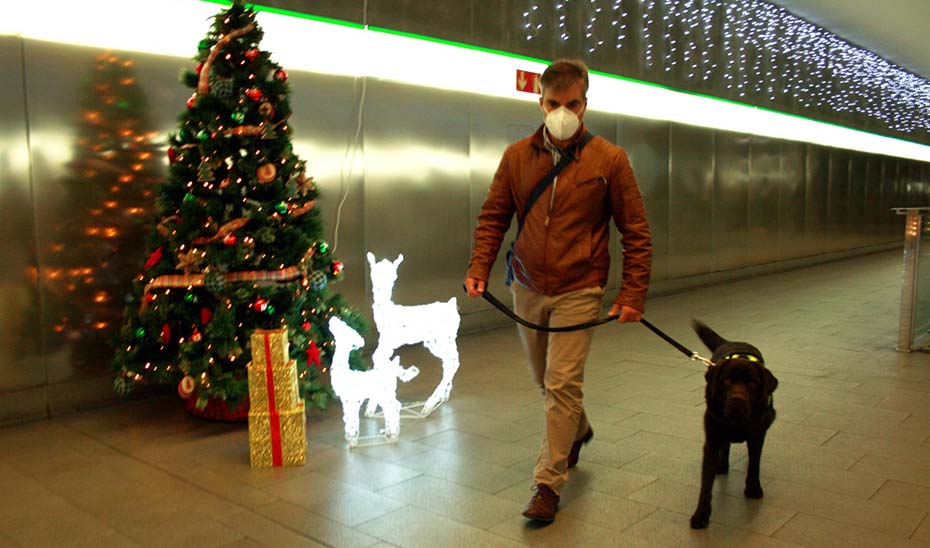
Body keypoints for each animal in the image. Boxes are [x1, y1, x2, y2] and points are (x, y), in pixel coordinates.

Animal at [688, 318, 776, 528]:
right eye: (726, 381)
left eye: (752, 383)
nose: (737, 399)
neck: (737, 421)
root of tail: (730, 342)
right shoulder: (711, 441)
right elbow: (706, 484)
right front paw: (701, 514)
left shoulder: (757, 436)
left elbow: (754, 464)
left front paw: (753, 489)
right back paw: (721, 466)